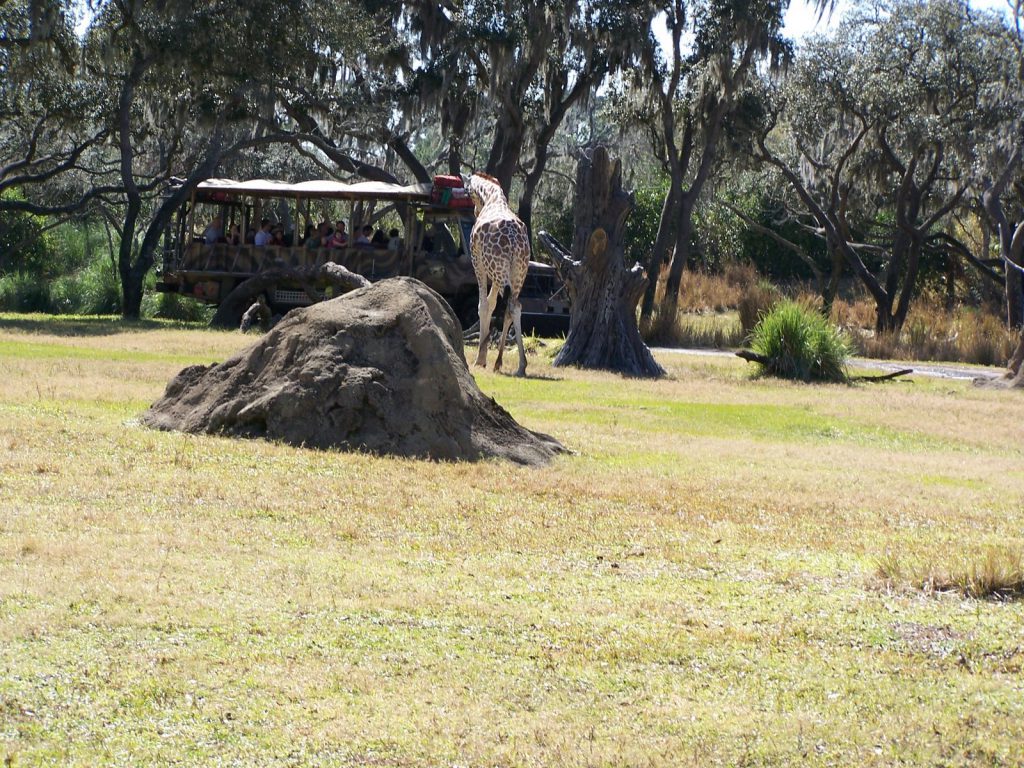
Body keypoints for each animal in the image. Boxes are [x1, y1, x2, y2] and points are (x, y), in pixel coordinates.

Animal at [462, 174, 528, 378]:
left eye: (467, 191)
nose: (474, 210)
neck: (493, 198)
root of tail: (514, 241)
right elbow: (492, 304)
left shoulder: (478, 263)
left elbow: (483, 305)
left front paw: (480, 358)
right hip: (518, 273)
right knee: (514, 306)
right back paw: (517, 365)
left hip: (498, 269)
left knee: (507, 306)